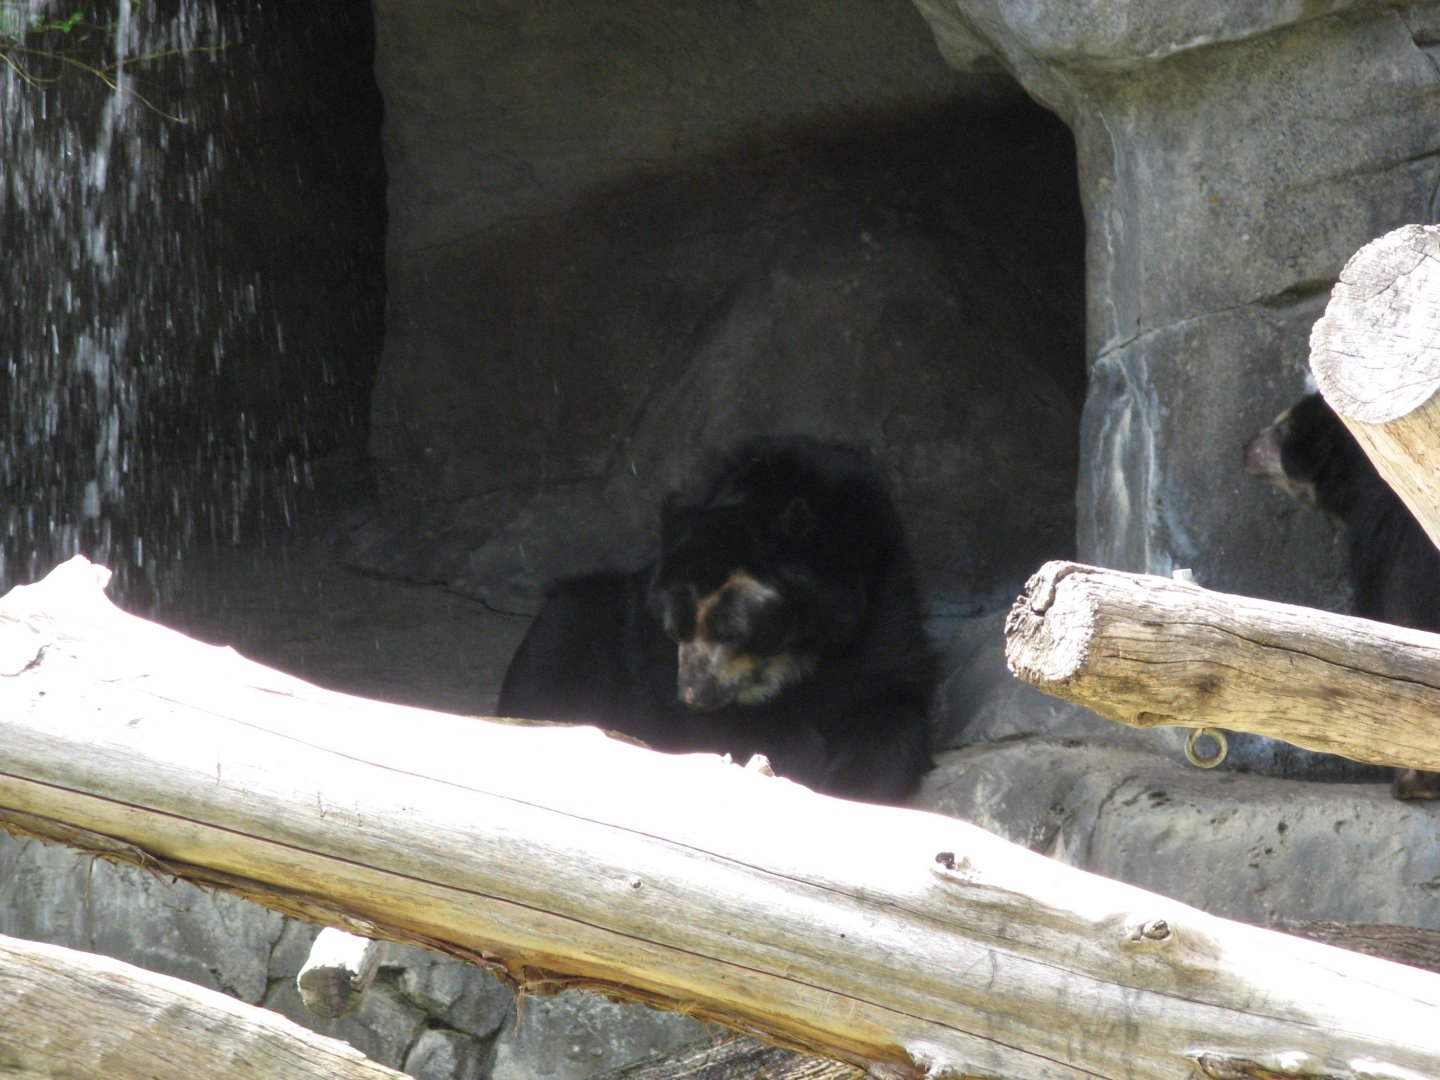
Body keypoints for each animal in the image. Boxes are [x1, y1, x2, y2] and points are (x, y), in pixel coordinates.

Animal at [497, 435, 936, 804]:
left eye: (734, 631)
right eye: (674, 629)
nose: (694, 695)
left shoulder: (885, 605)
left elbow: (890, 704)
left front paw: (849, 784)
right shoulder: (654, 658)